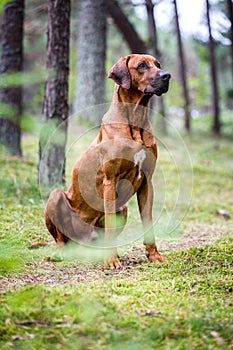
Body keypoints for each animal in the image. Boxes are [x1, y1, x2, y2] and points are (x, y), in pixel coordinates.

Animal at [41, 54, 170, 268]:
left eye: (157, 64)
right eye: (141, 65)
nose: (167, 75)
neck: (135, 119)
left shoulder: (147, 182)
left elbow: (148, 221)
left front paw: (154, 255)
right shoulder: (110, 180)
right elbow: (109, 222)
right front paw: (111, 260)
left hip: (122, 208)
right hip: (56, 196)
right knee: (60, 239)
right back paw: (61, 253)